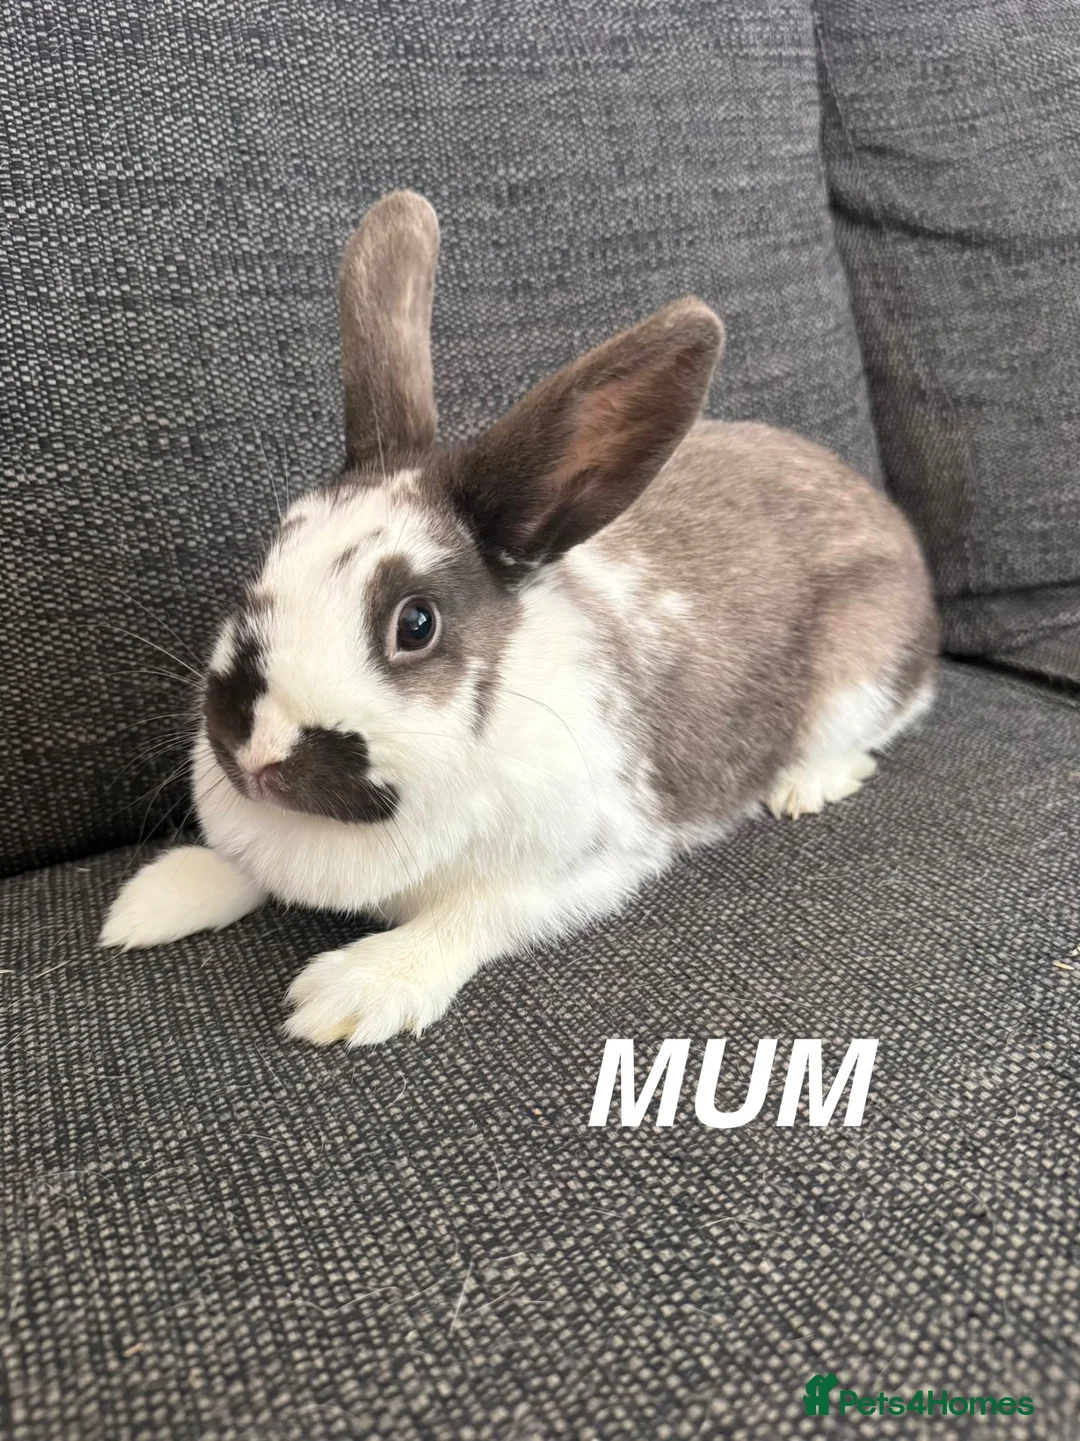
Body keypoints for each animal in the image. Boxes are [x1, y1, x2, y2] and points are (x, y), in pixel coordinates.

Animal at [100, 189, 938, 1047]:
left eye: (416, 624)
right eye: (266, 564)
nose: (259, 754)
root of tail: (889, 522)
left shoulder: (587, 864)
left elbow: (472, 917)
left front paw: (355, 992)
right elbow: (242, 867)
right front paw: (154, 900)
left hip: (859, 678)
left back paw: (807, 784)